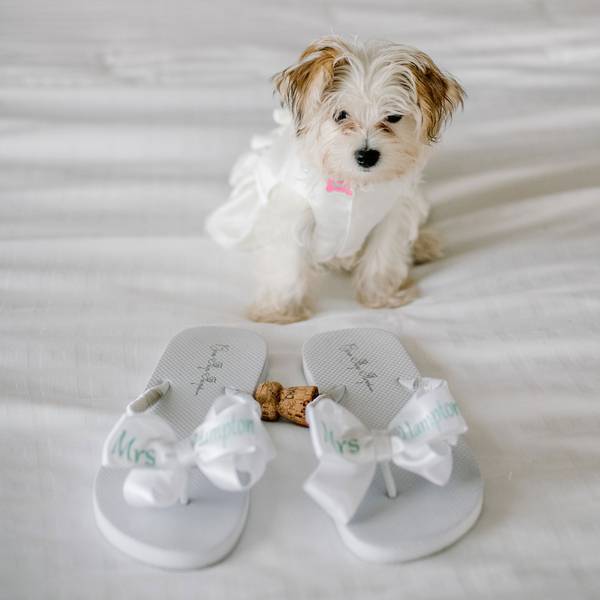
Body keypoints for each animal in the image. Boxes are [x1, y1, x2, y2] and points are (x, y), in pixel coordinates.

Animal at [206, 35, 464, 324]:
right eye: (341, 115)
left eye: (393, 117)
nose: (367, 155)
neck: (352, 184)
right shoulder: (292, 214)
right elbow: (288, 264)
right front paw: (279, 310)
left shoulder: (392, 213)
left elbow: (383, 256)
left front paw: (380, 296)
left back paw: (422, 244)